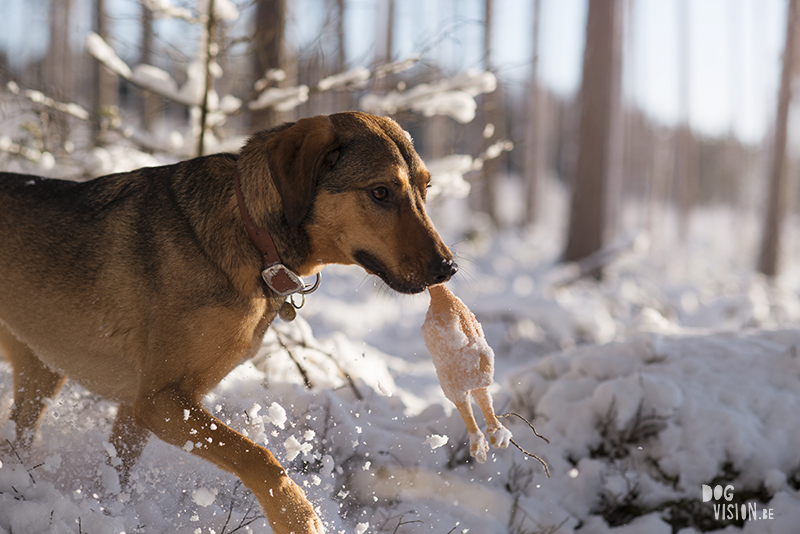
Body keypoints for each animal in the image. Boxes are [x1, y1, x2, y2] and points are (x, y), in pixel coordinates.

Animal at [0, 112, 456, 534]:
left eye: (426, 188)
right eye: (380, 192)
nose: (447, 268)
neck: (254, 237)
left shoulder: (141, 406)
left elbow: (118, 474)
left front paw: (113, 512)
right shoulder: (160, 400)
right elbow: (259, 457)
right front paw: (297, 517)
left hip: (42, 371)